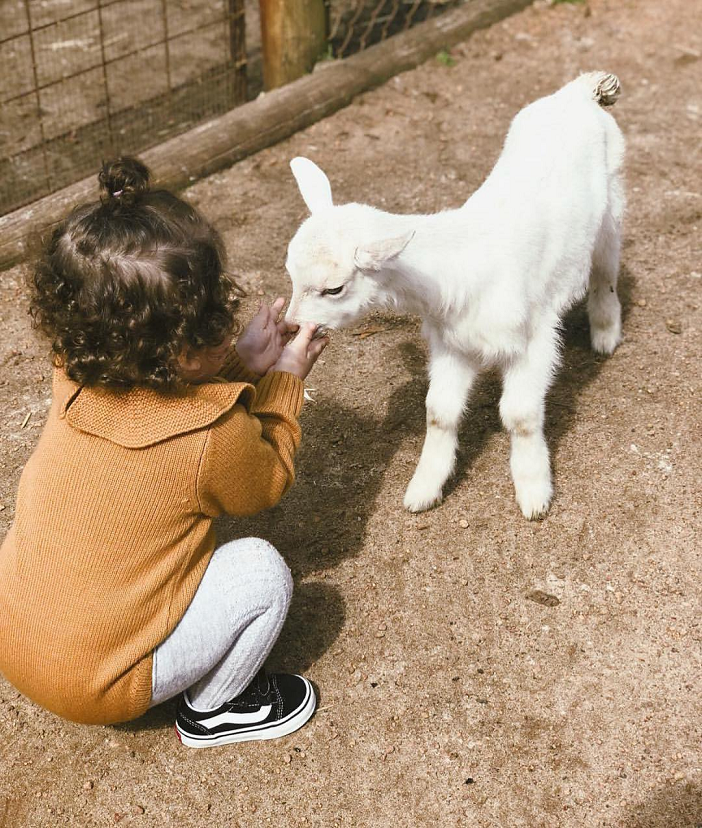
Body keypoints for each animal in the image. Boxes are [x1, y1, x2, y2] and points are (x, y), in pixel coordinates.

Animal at [285, 72, 625, 519]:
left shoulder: (532, 337)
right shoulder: (452, 343)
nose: (291, 326)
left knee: (605, 271)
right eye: (289, 273)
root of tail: (578, 90)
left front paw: (534, 492)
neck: (461, 261)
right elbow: (439, 414)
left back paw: (605, 334)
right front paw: (424, 488)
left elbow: (520, 415)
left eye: (334, 288)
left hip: (612, 202)